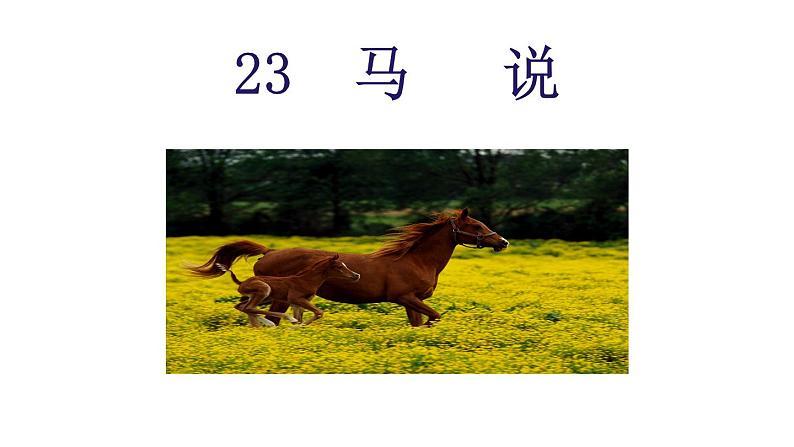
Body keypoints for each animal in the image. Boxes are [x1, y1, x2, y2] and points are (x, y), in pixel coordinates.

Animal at [215, 254, 360, 327]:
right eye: (339, 266)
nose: (356, 275)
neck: (307, 280)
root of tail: (241, 282)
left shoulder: (297, 303)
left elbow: (302, 317)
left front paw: (297, 327)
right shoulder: (295, 299)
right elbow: (319, 312)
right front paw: (296, 325)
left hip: (264, 297)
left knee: (243, 307)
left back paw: (257, 326)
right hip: (265, 290)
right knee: (249, 307)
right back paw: (274, 322)